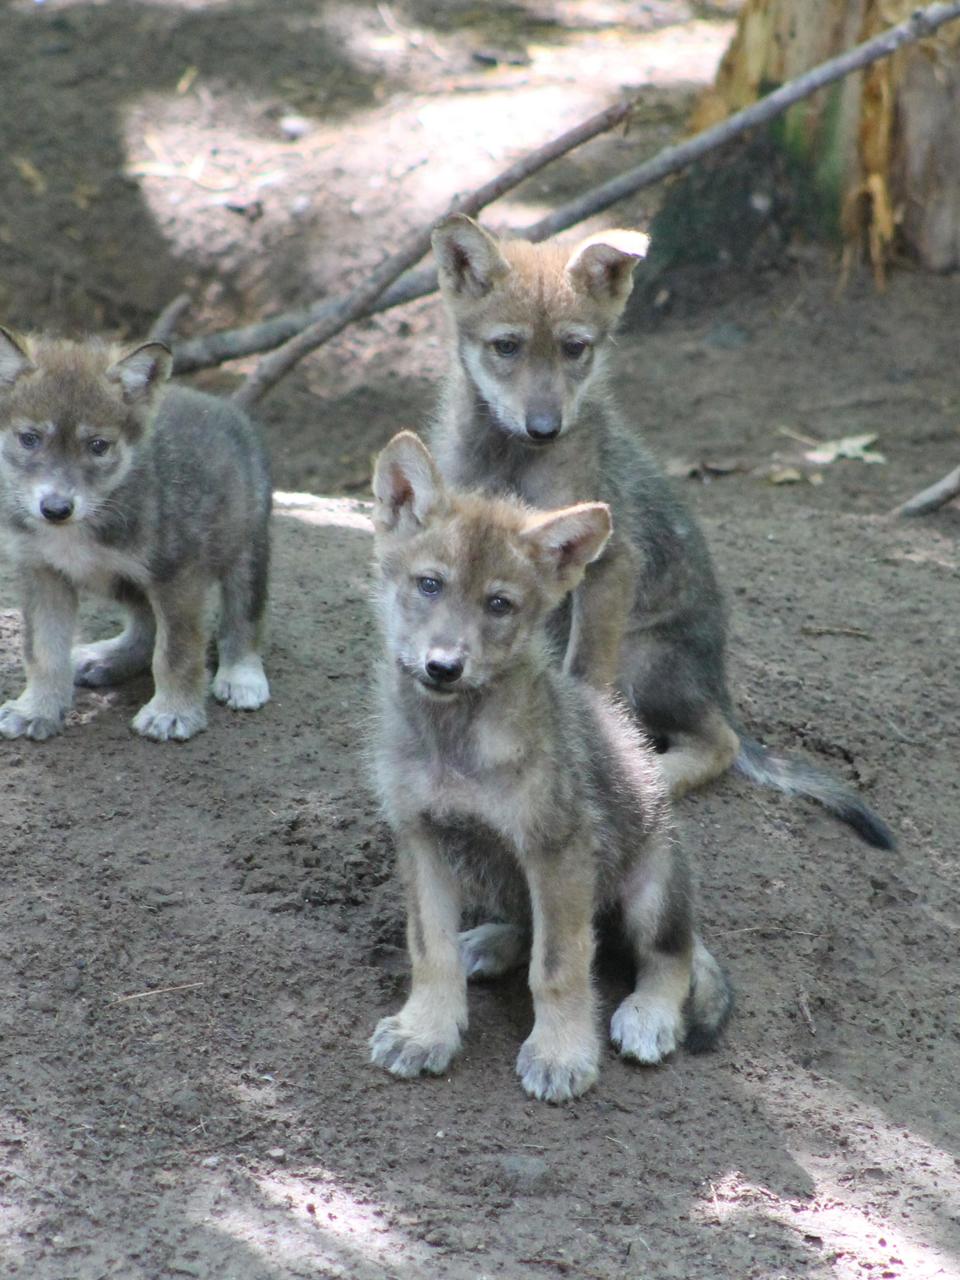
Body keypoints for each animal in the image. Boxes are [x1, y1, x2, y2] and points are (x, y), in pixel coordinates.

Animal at [0, 329, 271, 743]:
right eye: (29, 438)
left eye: (98, 446)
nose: (56, 509)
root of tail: (223, 406)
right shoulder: (43, 574)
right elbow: (43, 652)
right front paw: (36, 709)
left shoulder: (177, 576)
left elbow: (176, 653)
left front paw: (173, 712)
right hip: (123, 581)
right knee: (145, 627)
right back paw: (106, 659)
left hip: (245, 553)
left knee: (242, 622)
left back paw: (241, 676)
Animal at [368, 430, 731, 1102]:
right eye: (429, 585)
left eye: (500, 604)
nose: (443, 667)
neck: (456, 739)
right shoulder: (421, 836)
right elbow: (429, 949)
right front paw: (425, 1031)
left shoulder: (556, 848)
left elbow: (560, 966)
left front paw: (561, 1053)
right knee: (528, 926)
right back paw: (485, 943)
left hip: (652, 885)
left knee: (668, 956)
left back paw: (649, 1016)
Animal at [429, 213, 894, 849]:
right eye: (506, 346)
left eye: (575, 348)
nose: (545, 427)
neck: (510, 459)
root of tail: (716, 684)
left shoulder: (608, 561)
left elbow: (586, 681)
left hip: (642, 660)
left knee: (718, 743)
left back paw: (655, 777)